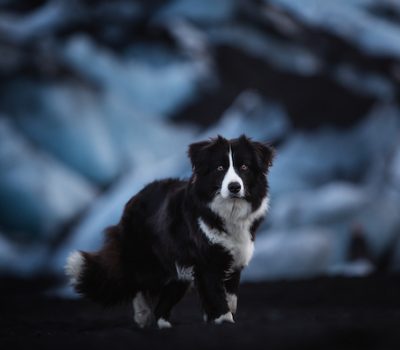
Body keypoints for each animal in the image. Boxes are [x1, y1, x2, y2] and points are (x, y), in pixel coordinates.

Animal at [65, 134, 276, 328]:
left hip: (178, 271)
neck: (228, 211)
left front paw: (217, 319)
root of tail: (135, 196)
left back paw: (162, 324)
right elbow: (218, 298)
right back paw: (142, 315)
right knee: (136, 282)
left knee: (162, 303)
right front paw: (224, 321)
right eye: (220, 168)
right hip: (148, 261)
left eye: (244, 167)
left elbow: (230, 299)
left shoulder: (235, 259)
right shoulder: (207, 262)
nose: (234, 187)